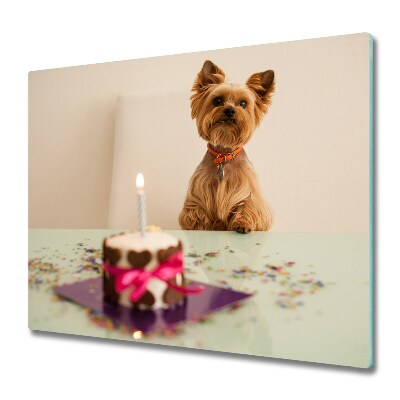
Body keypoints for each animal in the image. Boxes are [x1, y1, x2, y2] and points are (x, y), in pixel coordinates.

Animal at [179, 60, 276, 233]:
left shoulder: (248, 191)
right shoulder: (198, 192)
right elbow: (197, 211)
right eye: (217, 101)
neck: (223, 155)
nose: (230, 110)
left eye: (243, 103)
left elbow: (247, 205)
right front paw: (200, 226)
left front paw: (243, 223)